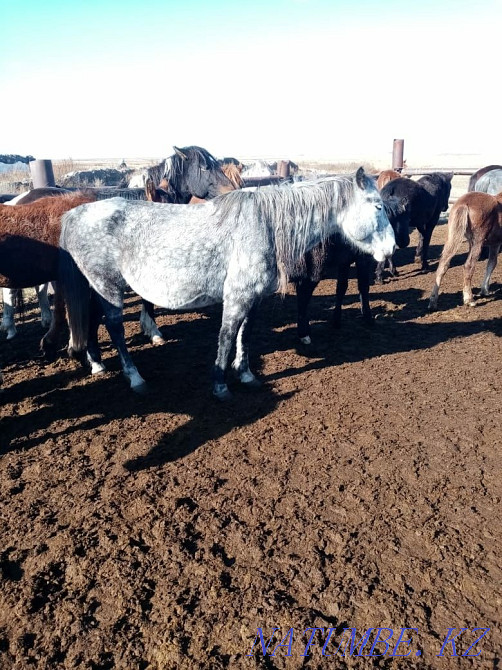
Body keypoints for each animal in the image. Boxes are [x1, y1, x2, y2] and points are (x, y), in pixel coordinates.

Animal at [59, 169, 396, 399]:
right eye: (378, 206)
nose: (392, 248)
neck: (264, 224)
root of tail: (73, 214)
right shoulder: (236, 296)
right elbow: (227, 334)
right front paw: (220, 384)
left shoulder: (253, 297)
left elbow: (245, 334)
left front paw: (245, 375)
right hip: (107, 284)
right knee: (114, 326)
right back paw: (135, 377)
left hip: (96, 287)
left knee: (92, 320)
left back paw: (96, 363)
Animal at [295, 195, 410, 343]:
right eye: (404, 218)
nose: (405, 242)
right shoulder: (362, 260)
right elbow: (363, 287)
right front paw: (368, 317)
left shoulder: (344, 262)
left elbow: (341, 288)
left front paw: (336, 321)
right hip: (315, 269)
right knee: (304, 294)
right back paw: (304, 333)